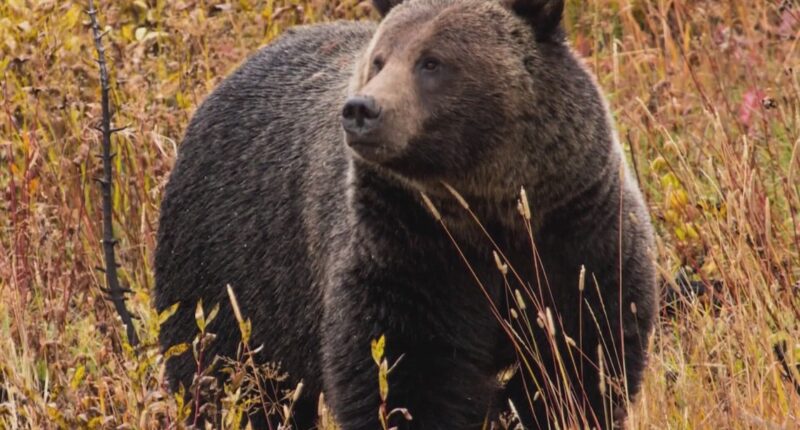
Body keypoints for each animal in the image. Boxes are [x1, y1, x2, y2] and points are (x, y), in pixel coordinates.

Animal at [154, 0, 658, 429]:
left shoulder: (575, 230)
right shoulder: (407, 246)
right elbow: (404, 372)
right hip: (229, 269)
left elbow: (583, 353)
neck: (487, 212)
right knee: (227, 378)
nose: (361, 109)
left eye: (431, 62)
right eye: (380, 59)